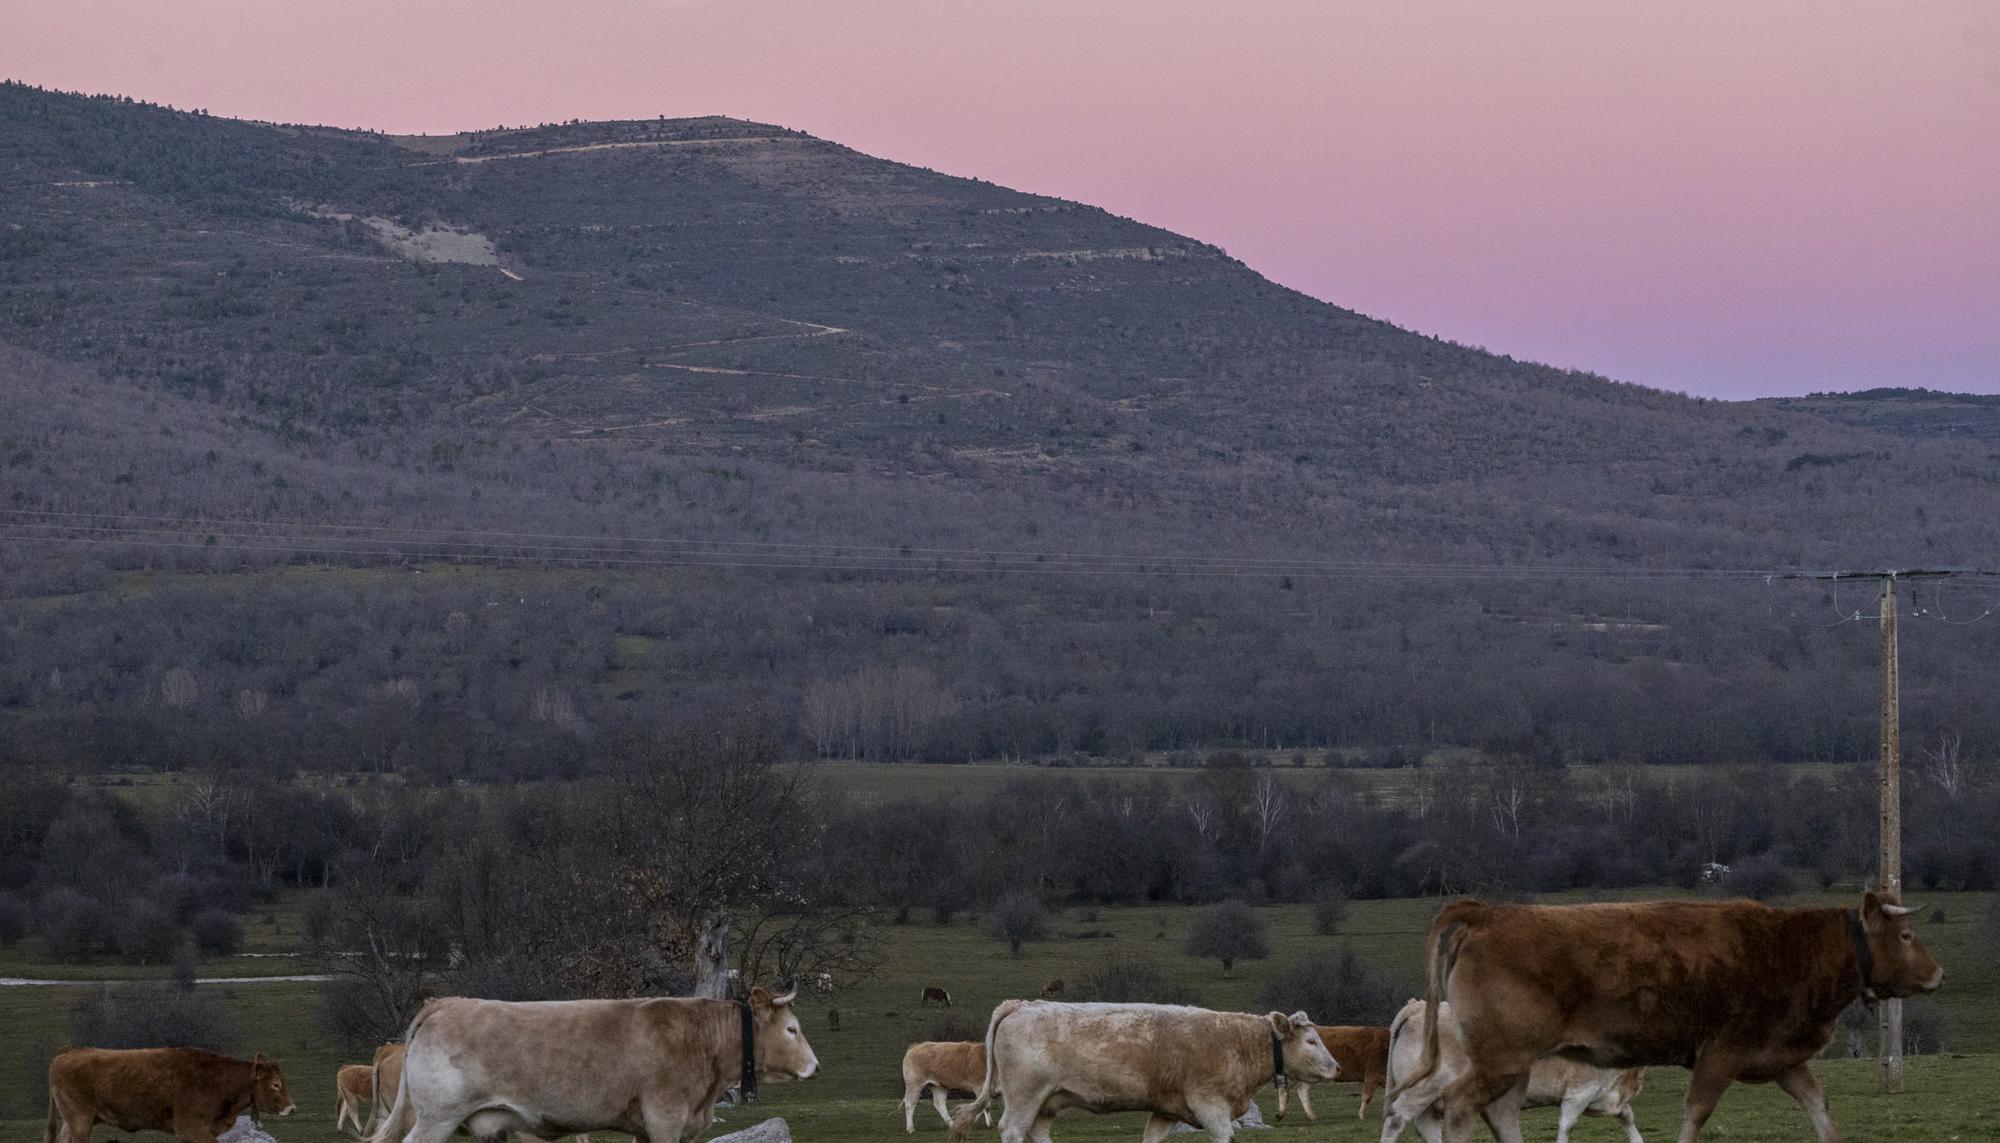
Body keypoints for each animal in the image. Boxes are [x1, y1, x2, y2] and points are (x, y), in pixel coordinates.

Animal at [43, 1047, 296, 1143]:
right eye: (275, 1084)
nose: (292, 1109)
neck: (215, 1079)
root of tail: (69, 1051)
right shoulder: (190, 1128)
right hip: (81, 1121)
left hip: (72, 1122)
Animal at [368, 987, 812, 1143]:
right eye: (792, 1029)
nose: (815, 1066)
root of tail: (445, 1003)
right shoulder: (665, 1117)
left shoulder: (652, 1127)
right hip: (436, 1117)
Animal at [944, 999, 1336, 1143]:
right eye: (1312, 1041)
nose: (1336, 1066)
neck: (1236, 1041)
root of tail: (1022, 1005)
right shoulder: (1210, 1105)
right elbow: (1225, 1136)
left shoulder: (1166, 1110)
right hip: (1024, 1095)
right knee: (1013, 1131)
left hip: (1046, 1101)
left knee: (1036, 1132)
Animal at [1392, 891, 1936, 1143]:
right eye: (1906, 936)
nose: (1938, 974)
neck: (1791, 950)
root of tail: (1487, 912)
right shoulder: (1721, 1053)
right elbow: (1695, 1113)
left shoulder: (1784, 1059)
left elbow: (1819, 1108)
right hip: (1500, 1059)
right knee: (1459, 1107)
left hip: (1514, 1065)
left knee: (1500, 1113)